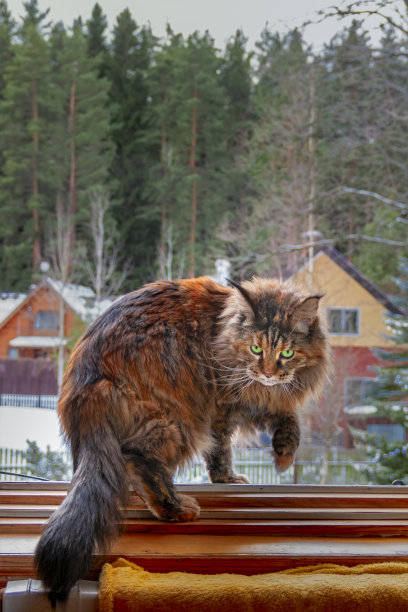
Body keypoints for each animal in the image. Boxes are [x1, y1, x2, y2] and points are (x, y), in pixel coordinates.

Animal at [33, 276, 330, 604]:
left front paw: (283, 454)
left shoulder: (260, 399)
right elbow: (221, 451)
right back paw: (176, 508)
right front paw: (229, 478)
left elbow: (290, 419)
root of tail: (86, 382)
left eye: (287, 353)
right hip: (180, 420)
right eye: (255, 348)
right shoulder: (223, 406)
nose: (267, 372)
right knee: (138, 458)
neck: (224, 333)